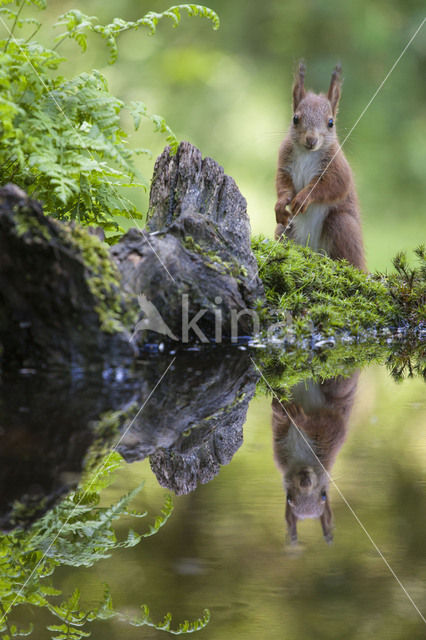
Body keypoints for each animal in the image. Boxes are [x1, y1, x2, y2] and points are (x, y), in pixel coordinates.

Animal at [276, 65, 366, 272]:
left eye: (331, 122)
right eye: (295, 118)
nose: (311, 139)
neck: (307, 153)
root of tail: (313, 250)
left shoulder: (337, 166)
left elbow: (333, 186)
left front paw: (303, 198)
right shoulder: (284, 162)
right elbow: (282, 183)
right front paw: (281, 204)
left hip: (342, 225)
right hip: (285, 230)